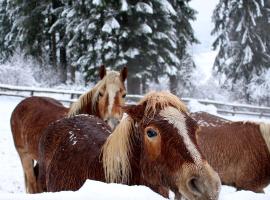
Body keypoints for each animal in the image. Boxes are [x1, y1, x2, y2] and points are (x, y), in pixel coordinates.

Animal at [10, 65, 127, 194]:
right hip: (24, 155)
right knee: (32, 184)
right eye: (100, 93)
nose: (113, 122)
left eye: (124, 95)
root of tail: (22, 103)